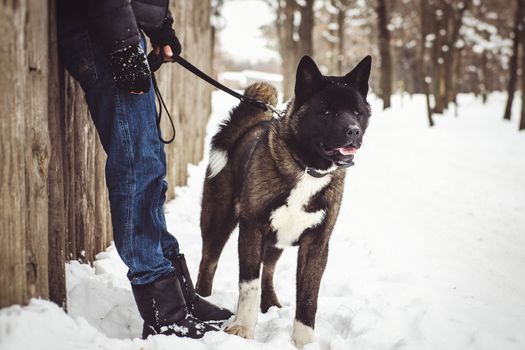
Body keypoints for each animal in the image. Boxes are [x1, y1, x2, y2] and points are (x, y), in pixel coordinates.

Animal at [194, 55, 370, 348]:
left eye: (357, 112)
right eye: (327, 112)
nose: (353, 132)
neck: (307, 168)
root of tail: (249, 126)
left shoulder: (317, 244)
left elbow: (308, 297)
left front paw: (304, 341)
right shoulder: (252, 229)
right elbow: (249, 284)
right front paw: (243, 328)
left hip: (277, 239)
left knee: (268, 270)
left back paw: (271, 303)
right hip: (218, 222)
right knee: (208, 264)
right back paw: (204, 299)